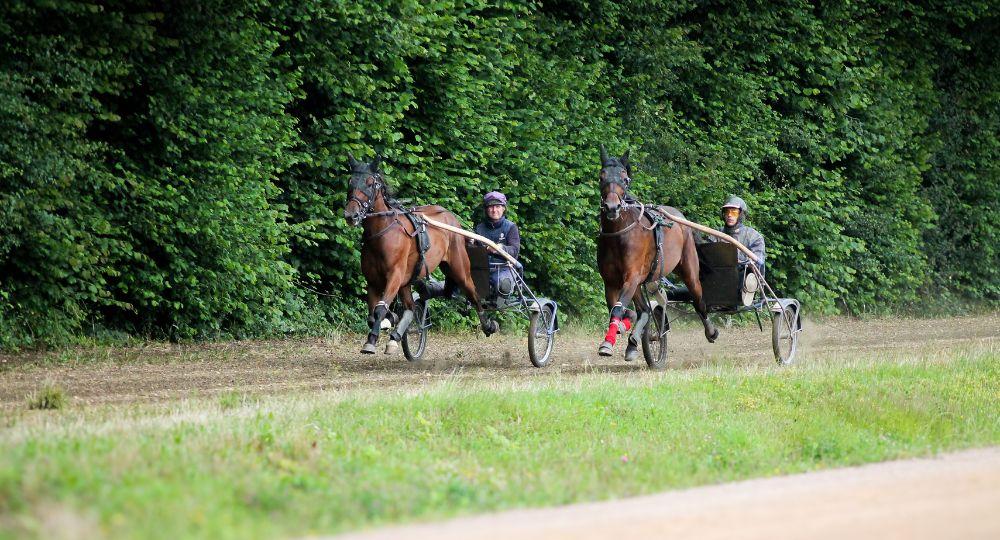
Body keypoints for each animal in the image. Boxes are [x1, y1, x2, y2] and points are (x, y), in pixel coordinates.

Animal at [344, 154, 496, 354]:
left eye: (370, 183)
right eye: (350, 181)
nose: (351, 215)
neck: (382, 233)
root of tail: (450, 216)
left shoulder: (395, 275)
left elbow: (379, 310)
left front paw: (372, 339)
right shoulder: (373, 280)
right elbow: (373, 315)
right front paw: (387, 323)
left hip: (459, 268)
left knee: (473, 294)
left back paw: (487, 325)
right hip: (408, 280)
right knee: (410, 306)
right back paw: (397, 335)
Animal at [596, 146, 716, 360]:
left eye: (624, 178)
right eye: (601, 177)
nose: (612, 207)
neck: (618, 235)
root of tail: (680, 217)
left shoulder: (632, 276)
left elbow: (618, 309)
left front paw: (608, 343)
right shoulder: (611, 281)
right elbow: (618, 310)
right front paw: (623, 332)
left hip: (688, 268)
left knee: (698, 299)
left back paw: (710, 331)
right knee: (644, 309)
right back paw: (633, 341)